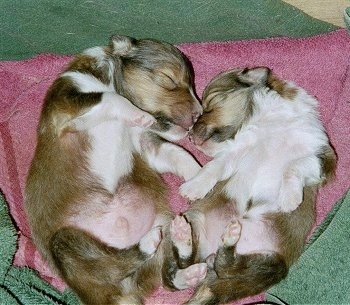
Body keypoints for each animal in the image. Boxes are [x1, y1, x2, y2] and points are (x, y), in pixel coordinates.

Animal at [25, 35, 205, 304]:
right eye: (169, 79)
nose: (198, 115)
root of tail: (122, 294)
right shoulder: (67, 103)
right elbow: (110, 98)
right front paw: (139, 114)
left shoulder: (146, 144)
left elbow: (180, 154)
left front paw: (200, 178)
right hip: (66, 244)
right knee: (112, 265)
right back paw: (148, 242)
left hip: (161, 226)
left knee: (167, 277)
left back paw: (184, 245)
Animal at [170, 67, 336, 302]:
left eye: (211, 102)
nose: (190, 137)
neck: (272, 121)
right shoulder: (236, 150)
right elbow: (214, 167)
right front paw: (194, 187)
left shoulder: (320, 157)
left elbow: (294, 166)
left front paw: (289, 198)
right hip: (196, 220)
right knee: (188, 263)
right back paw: (184, 236)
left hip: (272, 264)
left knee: (225, 265)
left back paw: (224, 240)